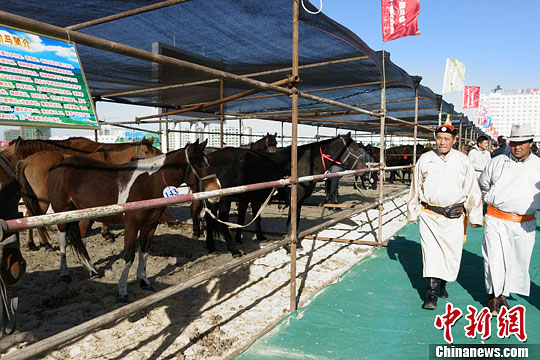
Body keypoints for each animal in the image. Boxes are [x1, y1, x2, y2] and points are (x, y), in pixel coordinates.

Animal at [16, 140, 162, 250]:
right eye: (146, 151)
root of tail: (26, 160)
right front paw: (107, 234)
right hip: (43, 199)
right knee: (35, 216)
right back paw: (46, 244)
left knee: (29, 216)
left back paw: (32, 244)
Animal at [46, 139, 221, 302]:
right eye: (199, 164)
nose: (217, 191)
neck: (149, 183)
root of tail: (59, 166)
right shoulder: (131, 225)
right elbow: (129, 255)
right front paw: (122, 291)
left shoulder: (150, 225)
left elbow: (144, 252)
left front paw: (143, 281)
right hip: (62, 213)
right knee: (63, 240)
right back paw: (64, 273)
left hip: (84, 215)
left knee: (81, 238)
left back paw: (91, 269)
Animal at [194, 132, 368, 250]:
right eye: (354, 148)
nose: (365, 169)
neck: (303, 164)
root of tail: (209, 159)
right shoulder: (294, 199)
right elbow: (291, 221)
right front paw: (291, 245)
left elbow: (294, 221)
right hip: (225, 199)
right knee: (220, 221)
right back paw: (232, 250)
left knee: (210, 219)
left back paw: (211, 246)